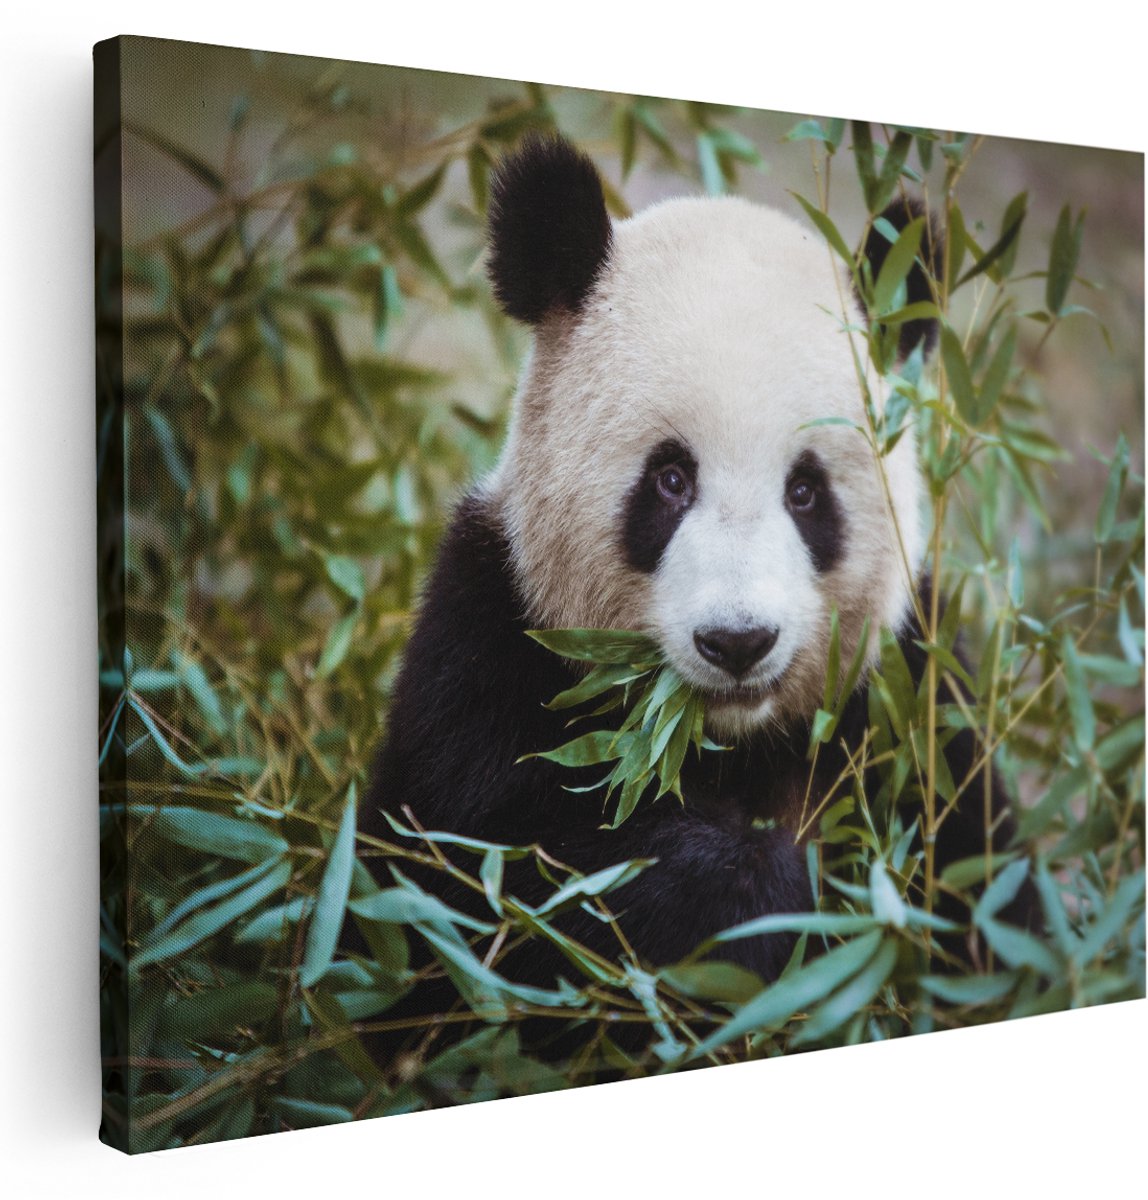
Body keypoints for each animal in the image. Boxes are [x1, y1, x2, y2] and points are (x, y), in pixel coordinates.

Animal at [360, 134, 1022, 991]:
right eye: (670, 479)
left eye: (806, 491)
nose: (738, 641)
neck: (723, 742)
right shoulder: (486, 651)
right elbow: (510, 876)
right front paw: (761, 894)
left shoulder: (913, 697)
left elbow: (985, 901)